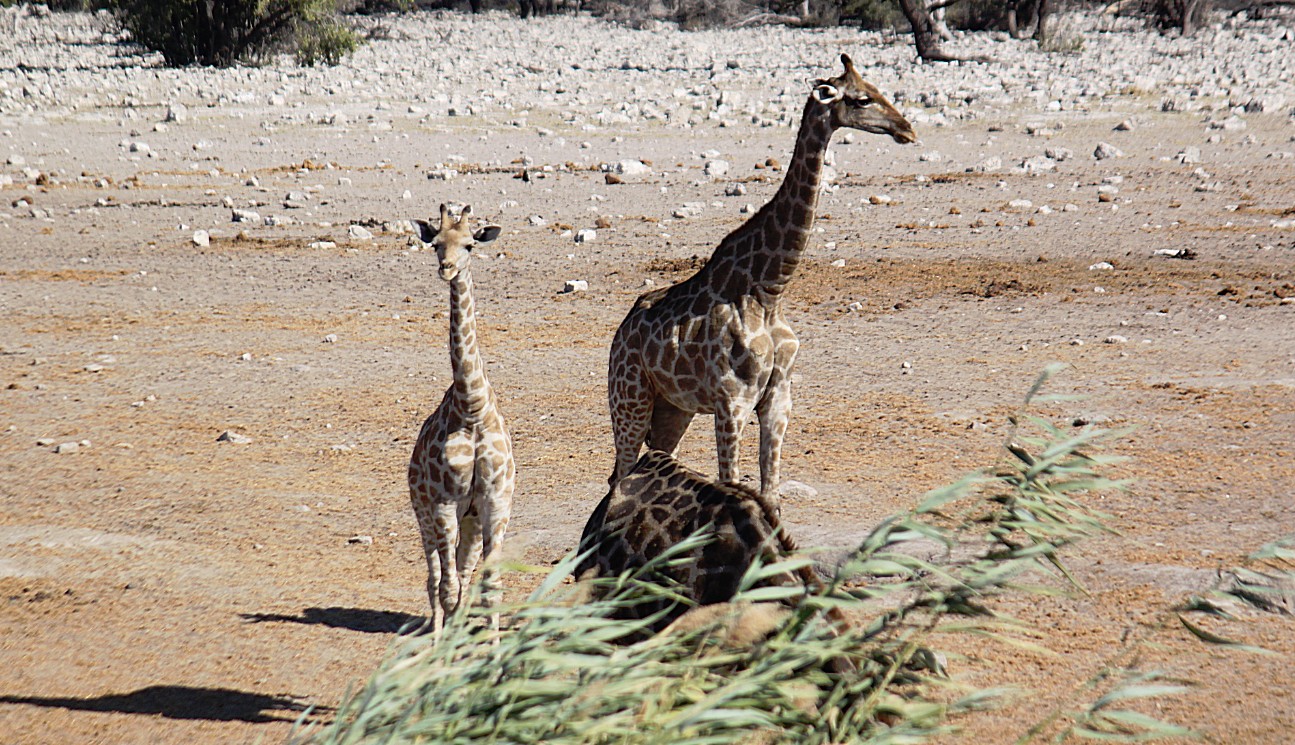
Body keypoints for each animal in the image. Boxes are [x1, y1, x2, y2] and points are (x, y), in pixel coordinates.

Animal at [603, 53, 911, 502]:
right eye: (860, 98)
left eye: (877, 89)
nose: (907, 128)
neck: (769, 290)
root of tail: (621, 332)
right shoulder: (732, 402)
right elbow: (731, 483)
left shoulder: (778, 397)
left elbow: (771, 491)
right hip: (630, 396)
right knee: (619, 474)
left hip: (673, 408)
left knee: (645, 466)